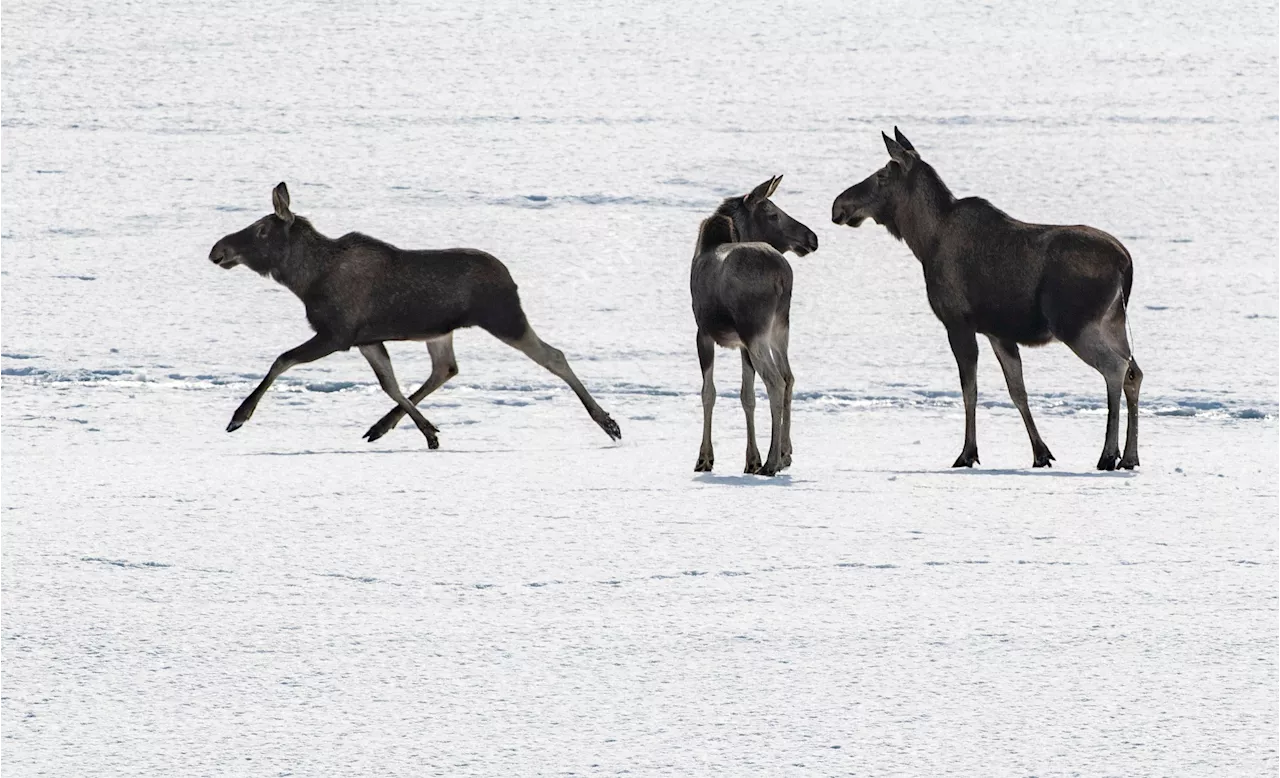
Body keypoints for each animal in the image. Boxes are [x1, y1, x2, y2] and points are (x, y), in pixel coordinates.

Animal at [207, 181, 622, 447]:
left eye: (262, 230)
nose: (217, 250)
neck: (304, 280)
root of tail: (511, 278)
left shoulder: (337, 334)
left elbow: (281, 360)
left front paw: (239, 416)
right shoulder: (367, 338)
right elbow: (390, 384)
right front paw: (428, 432)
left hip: (504, 318)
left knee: (554, 356)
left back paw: (607, 422)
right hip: (441, 332)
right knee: (446, 369)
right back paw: (385, 426)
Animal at [691, 177, 819, 473]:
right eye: (773, 214)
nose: (812, 238)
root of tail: (783, 276)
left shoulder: (703, 333)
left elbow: (708, 393)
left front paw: (704, 458)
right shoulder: (740, 344)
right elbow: (746, 396)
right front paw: (751, 459)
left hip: (755, 332)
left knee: (775, 382)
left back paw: (772, 462)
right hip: (779, 328)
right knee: (789, 377)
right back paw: (784, 454)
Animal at [834, 128, 1146, 470]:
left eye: (881, 176)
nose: (839, 206)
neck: (924, 241)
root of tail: (1126, 263)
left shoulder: (957, 321)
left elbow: (969, 390)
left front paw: (967, 453)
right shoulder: (998, 333)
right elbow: (1017, 391)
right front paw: (1040, 453)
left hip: (1076, 325)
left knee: (1115, 368)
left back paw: (1108, 454)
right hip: (1113, 322)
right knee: (1135, 372)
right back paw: (1130, 456)